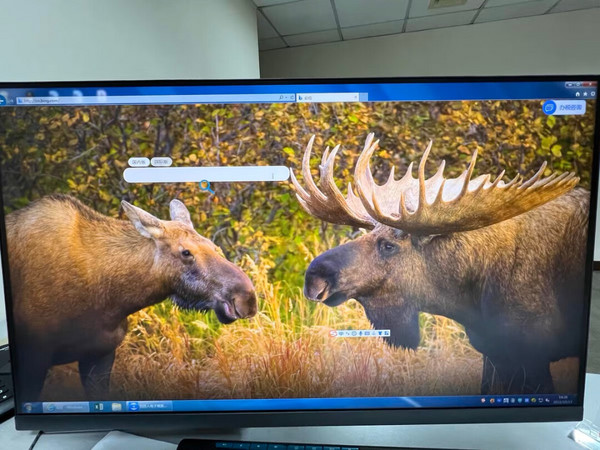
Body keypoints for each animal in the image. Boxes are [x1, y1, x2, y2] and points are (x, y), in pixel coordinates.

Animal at [5, 195, 256, 400]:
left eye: (214, 246)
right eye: (186, 252)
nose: (247, 298)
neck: (112, 300)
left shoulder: (100, 355)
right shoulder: (34, 357)